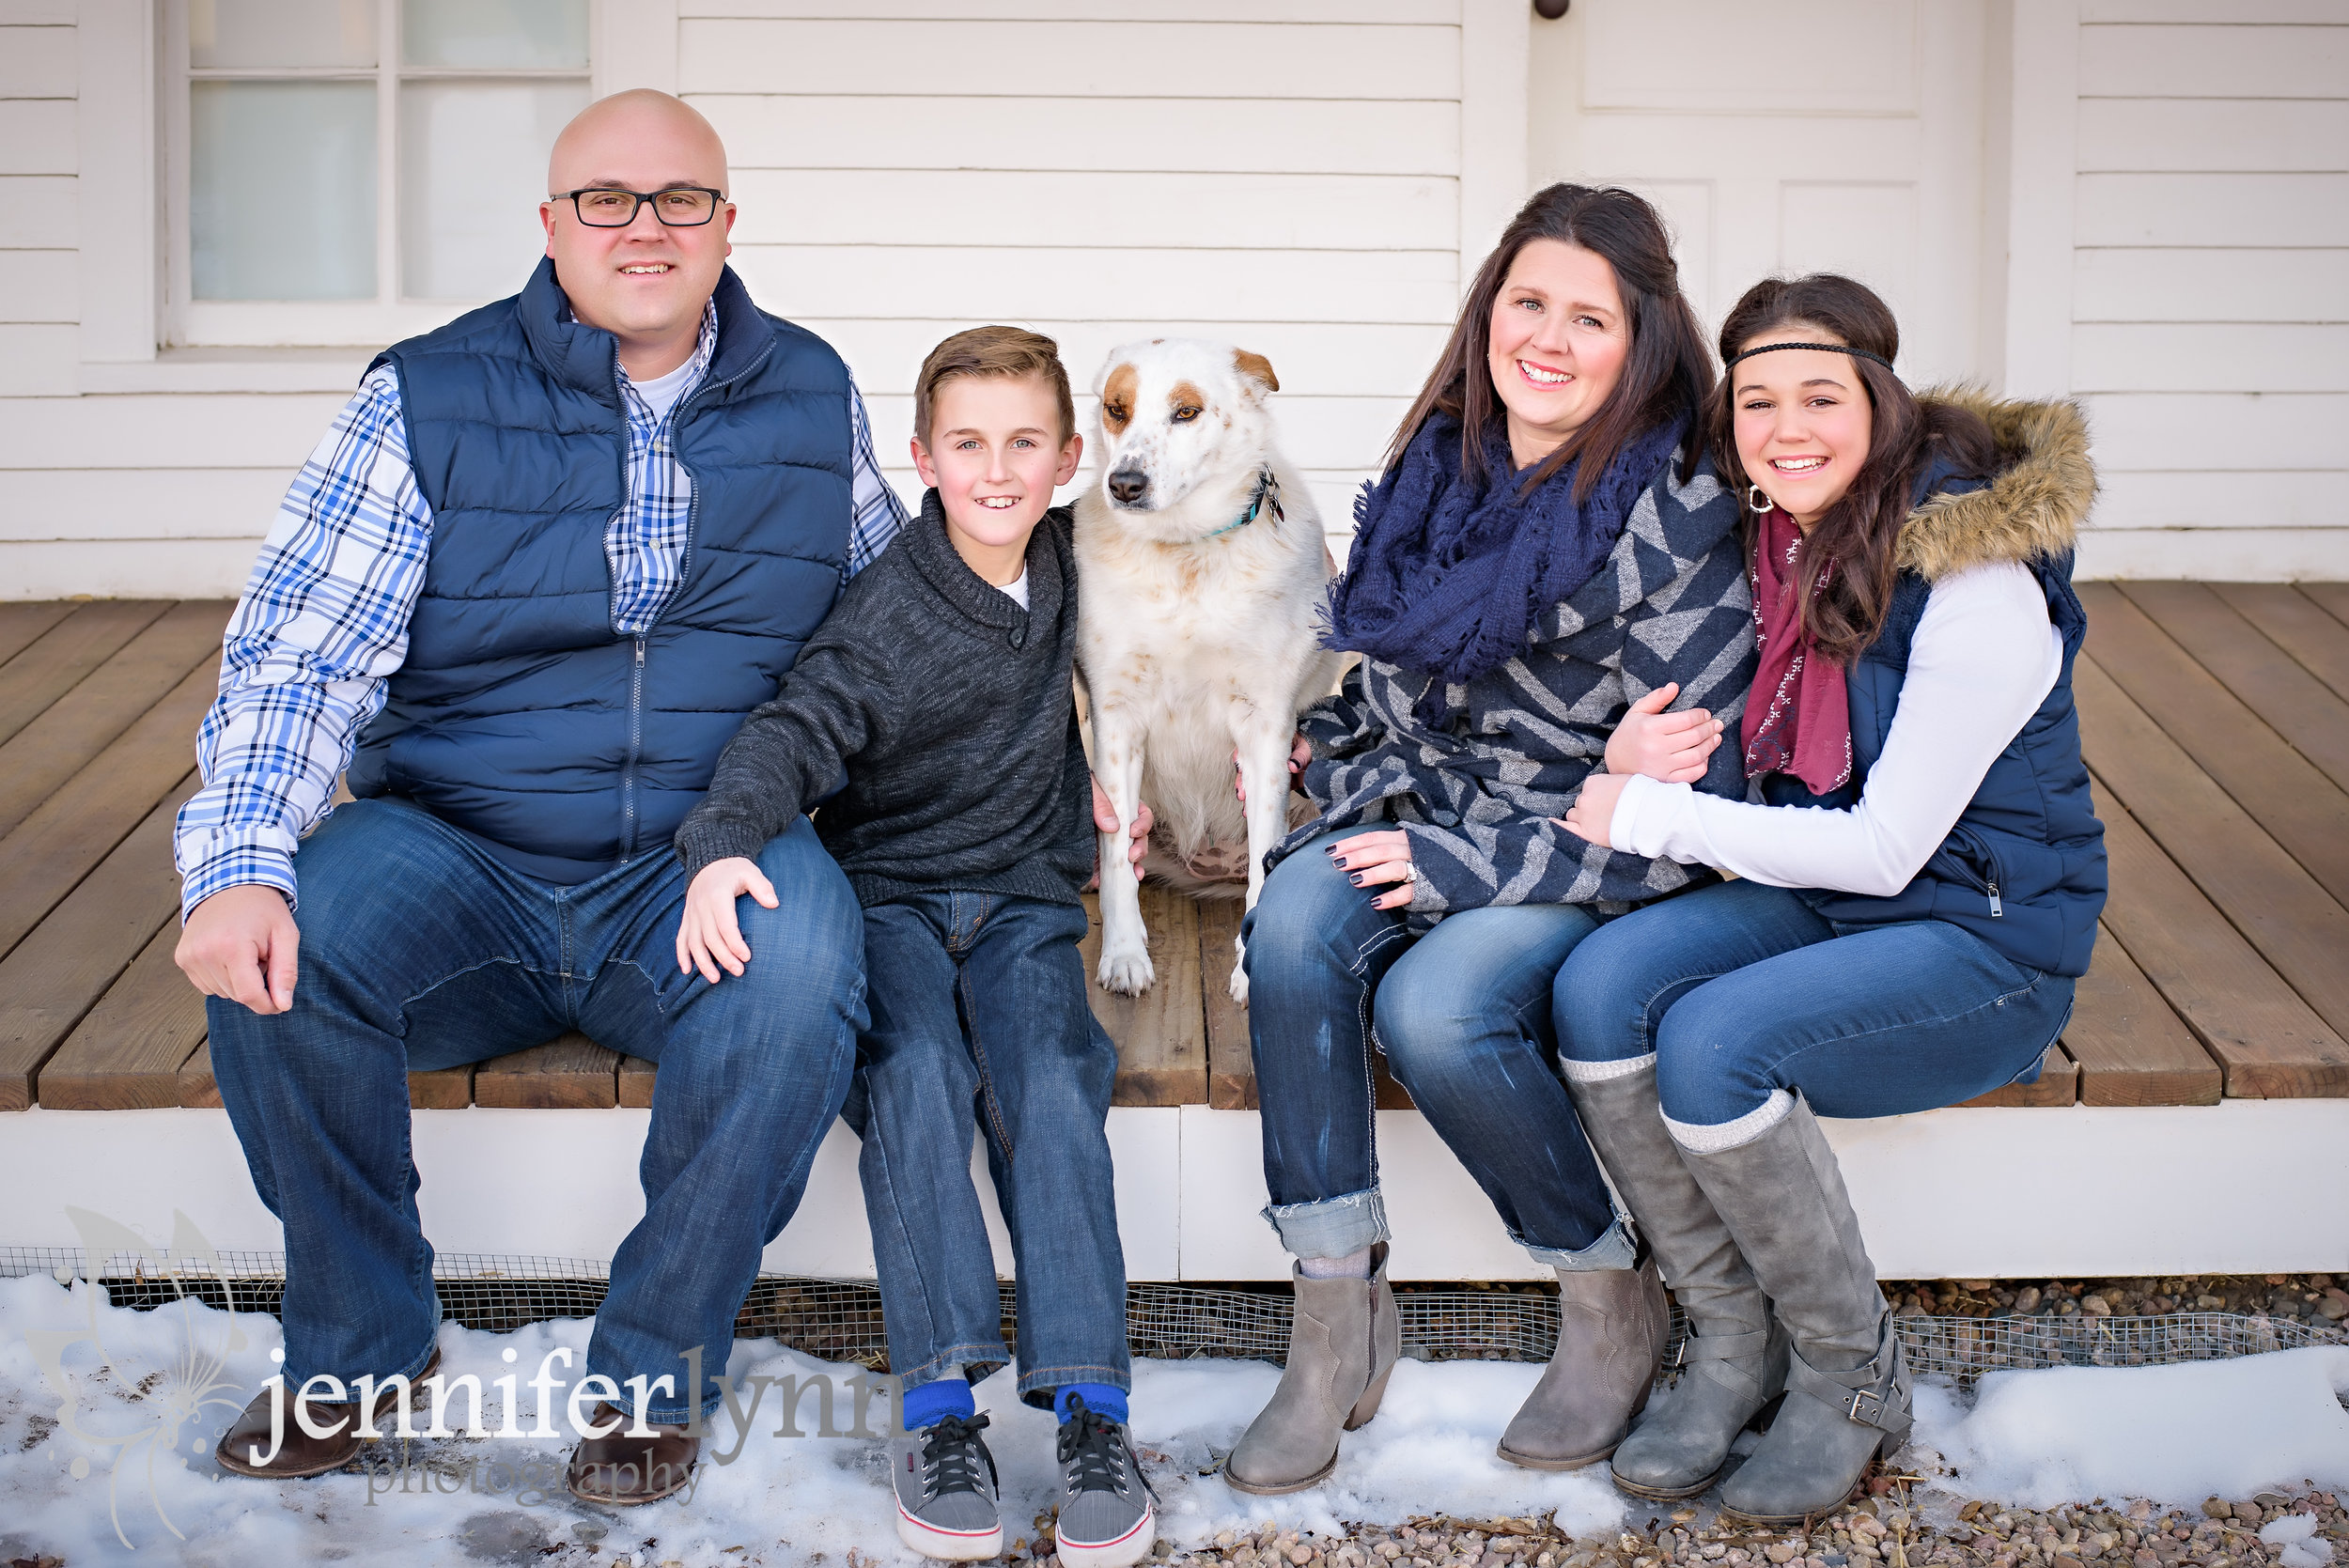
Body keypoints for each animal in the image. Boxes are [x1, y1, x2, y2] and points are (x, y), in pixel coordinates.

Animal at [1076, 340, 1344, 1004]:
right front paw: (1124, 956)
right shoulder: (1116, 719)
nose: (1124, 484)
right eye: (1117, 409)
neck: (1185, 554)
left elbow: (1268, 861)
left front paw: (1251, 970)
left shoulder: (1265, 726)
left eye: (1187, 412)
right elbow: (1118, 852)